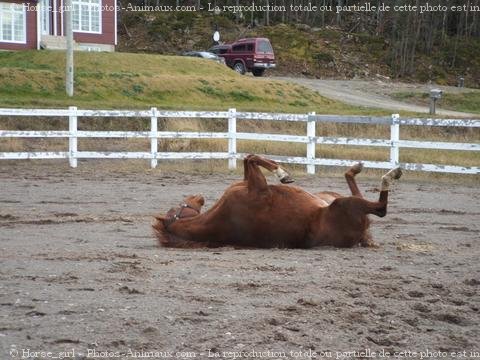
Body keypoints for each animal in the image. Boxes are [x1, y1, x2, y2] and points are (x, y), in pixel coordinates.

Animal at [152, 153, 400, 249]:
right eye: (179, 207)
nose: (197, 196)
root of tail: (361, 237)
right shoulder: (259, 188)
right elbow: (252, 158)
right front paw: (282, 174)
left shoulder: (249, 182)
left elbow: (248, 158)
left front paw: (282, 173)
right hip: (344, 204)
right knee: (380, 208)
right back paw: (390, 174)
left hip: (334, 196)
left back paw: (356, 168)